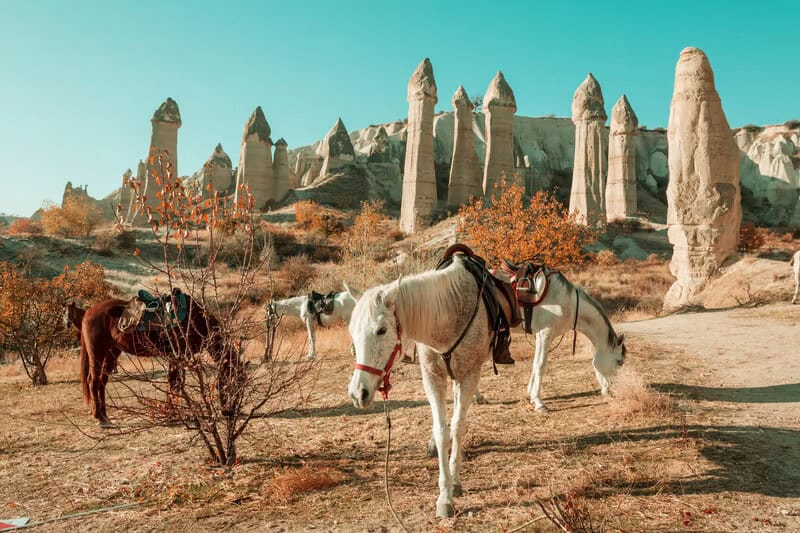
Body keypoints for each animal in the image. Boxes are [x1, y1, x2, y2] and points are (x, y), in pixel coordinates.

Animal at [79, 292, 234, 427]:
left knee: (102, 382)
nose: (228, 412)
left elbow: (175, 383)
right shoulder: (177, 356)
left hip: (111, 352)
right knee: (93, 381)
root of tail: (89, 312)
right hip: (97, 352)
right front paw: (171, 413)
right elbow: (174, 383)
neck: (195, 319)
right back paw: (99, 417)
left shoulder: (181, 357)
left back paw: (105, 416)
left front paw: (172, 412)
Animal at [346, 247, 494, 518]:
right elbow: (442, 431)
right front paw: (445, 495)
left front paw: (454, 483)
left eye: (381, 330)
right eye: (352, 332)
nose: (357, 393)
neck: (448, 314)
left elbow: (457, 427)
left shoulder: (469, 375)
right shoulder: (432, 378)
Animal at [504, 259, 626, 411]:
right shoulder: (545, 334)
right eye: (619, 361)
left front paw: (531, 395)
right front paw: (539, 402)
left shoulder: (541, 336)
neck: (569, 303)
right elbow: (540, 365)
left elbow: (534, 363)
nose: (613, 390)